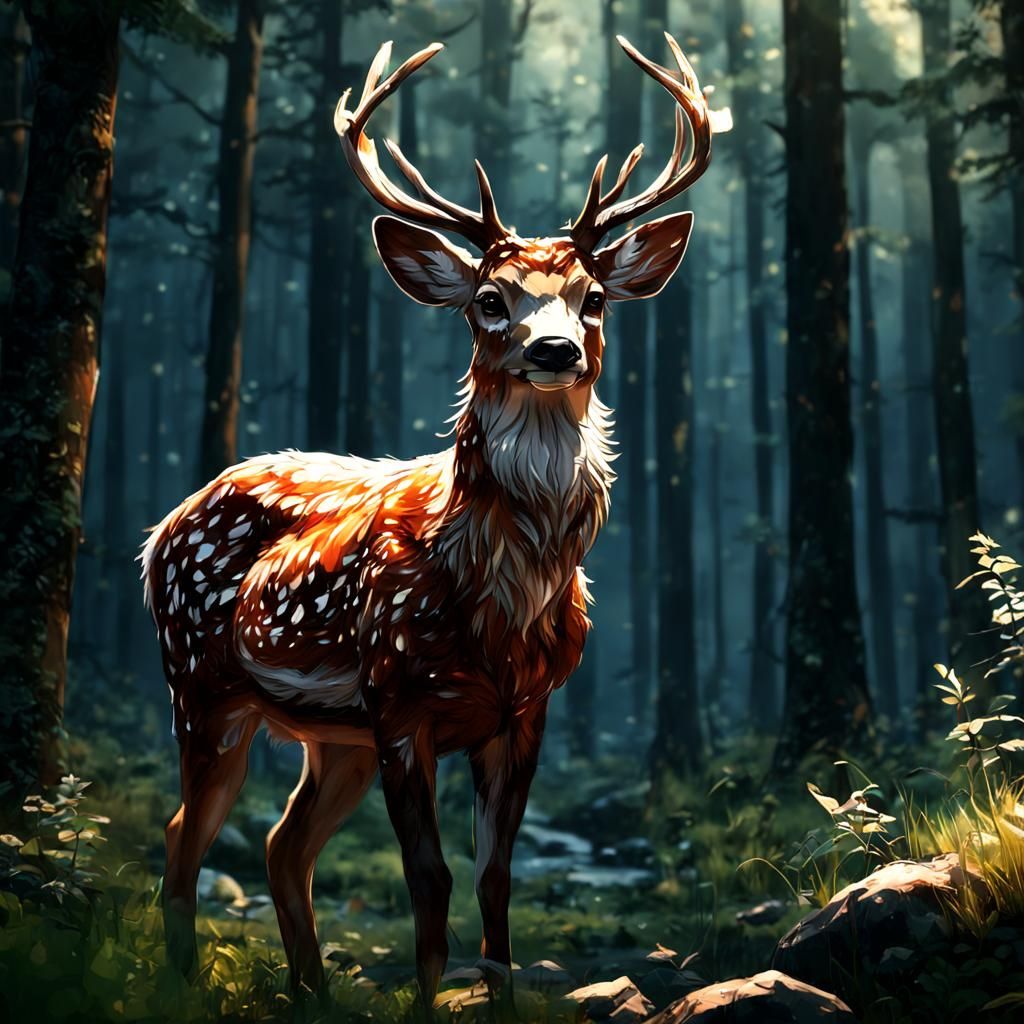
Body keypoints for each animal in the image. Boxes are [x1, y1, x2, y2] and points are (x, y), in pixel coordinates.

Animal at [142, 33, 720, 1007]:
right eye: (490, 299)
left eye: (594, 297)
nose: (554, 349)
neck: (500, 601)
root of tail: (158, 532)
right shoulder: (400, 699)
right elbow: (430, 880)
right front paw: (425, 1000)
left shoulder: (524, 711)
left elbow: (495, 880)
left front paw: (501, 1001)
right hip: (203, 684)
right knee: (186, 838)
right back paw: (185, 985)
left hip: (328, 737)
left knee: (280, 844)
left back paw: (313, 996)